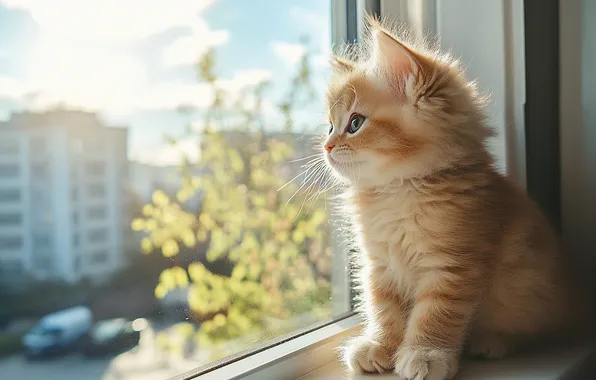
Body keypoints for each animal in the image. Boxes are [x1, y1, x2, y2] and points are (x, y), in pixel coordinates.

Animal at [324, 16, 588, 378]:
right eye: (329, 127)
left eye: (355, 123)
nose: (326, 146)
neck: (396, 193)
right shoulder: (380, 266)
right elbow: (384, 309)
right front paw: (381, 345)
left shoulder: (452, 264)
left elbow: (435, 314)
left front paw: (425, 354)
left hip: (531, 288)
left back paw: (493, 342)